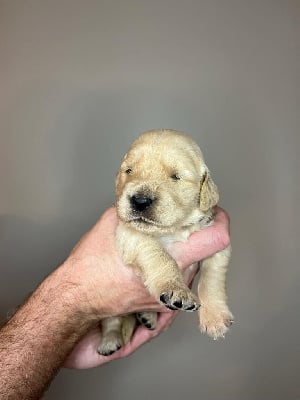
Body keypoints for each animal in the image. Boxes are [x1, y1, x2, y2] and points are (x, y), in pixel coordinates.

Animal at [97, 129, 233, 356]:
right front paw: (175, 288)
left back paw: (148, 317)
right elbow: (160, 256)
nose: (140, 201)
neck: (176, 228)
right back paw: (110, 340)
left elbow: (212, 279)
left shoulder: (215, 240)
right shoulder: (131, 234)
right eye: (129, 170)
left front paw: (215, 318)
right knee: (112, 320)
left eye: (175, 176)